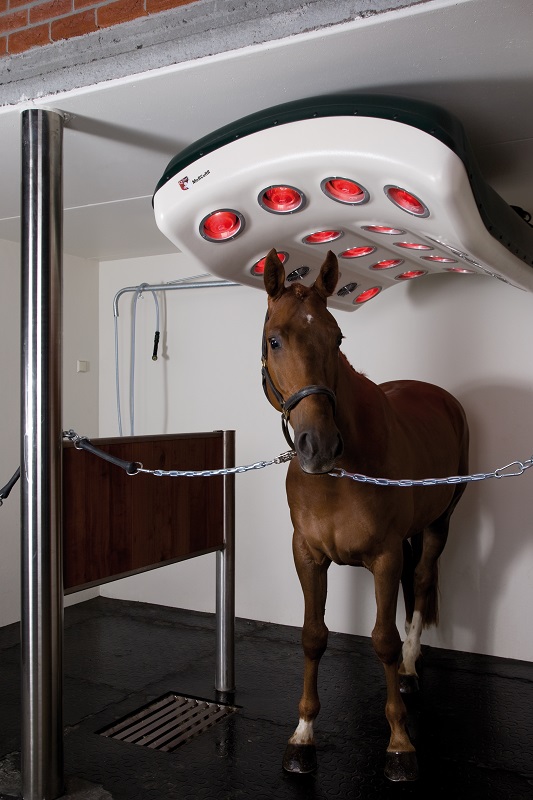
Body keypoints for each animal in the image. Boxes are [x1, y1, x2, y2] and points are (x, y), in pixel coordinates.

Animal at [261, 248, 469, 781]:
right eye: (275, 340)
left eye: (337, 338)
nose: (318, 446)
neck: (337, 477)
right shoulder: (307, 556)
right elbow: (313, 636)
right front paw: (303, 736)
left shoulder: (384, 557)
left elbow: (383, 641)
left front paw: (399, 742)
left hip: (439, 524)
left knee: (421, 582)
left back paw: (412, 669)